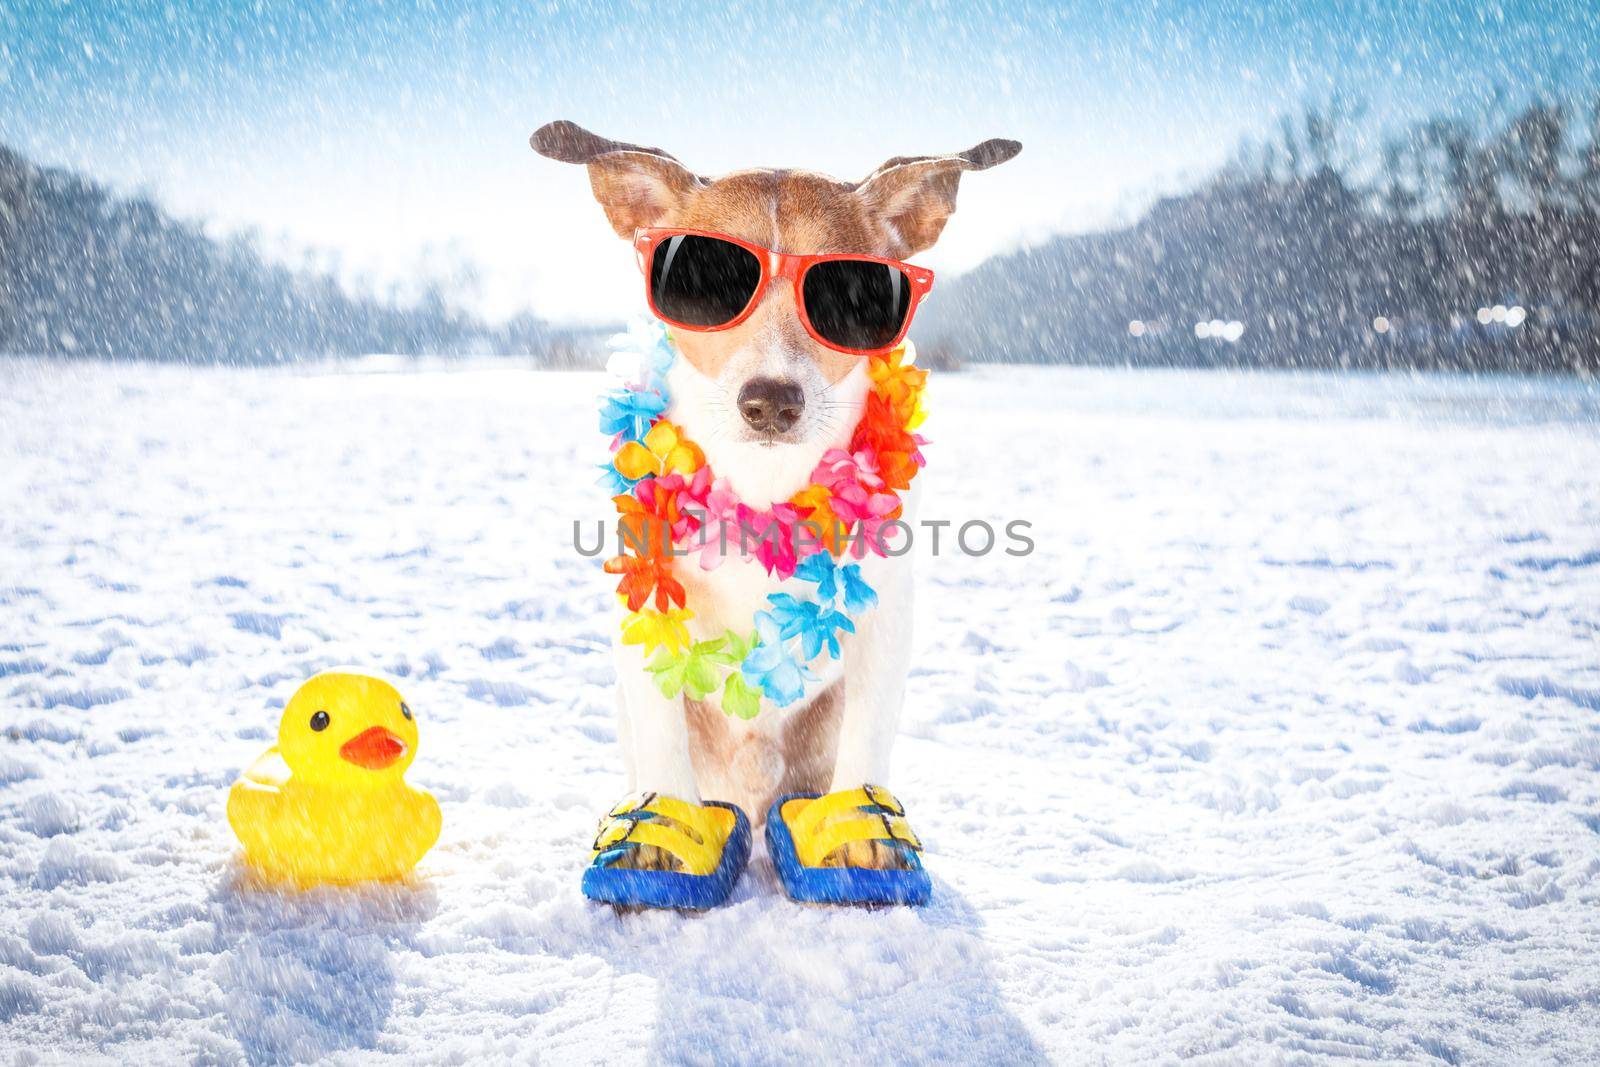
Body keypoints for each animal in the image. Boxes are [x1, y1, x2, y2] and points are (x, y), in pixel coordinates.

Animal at [531, 119, 1017, 870]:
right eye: (705, 282)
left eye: (852, 297)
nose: (770, 401)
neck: (763, 487)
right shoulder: (643, 623)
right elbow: (661, 731)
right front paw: (661, 827)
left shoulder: (884, 626)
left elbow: (867, 738)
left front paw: (859, 827)